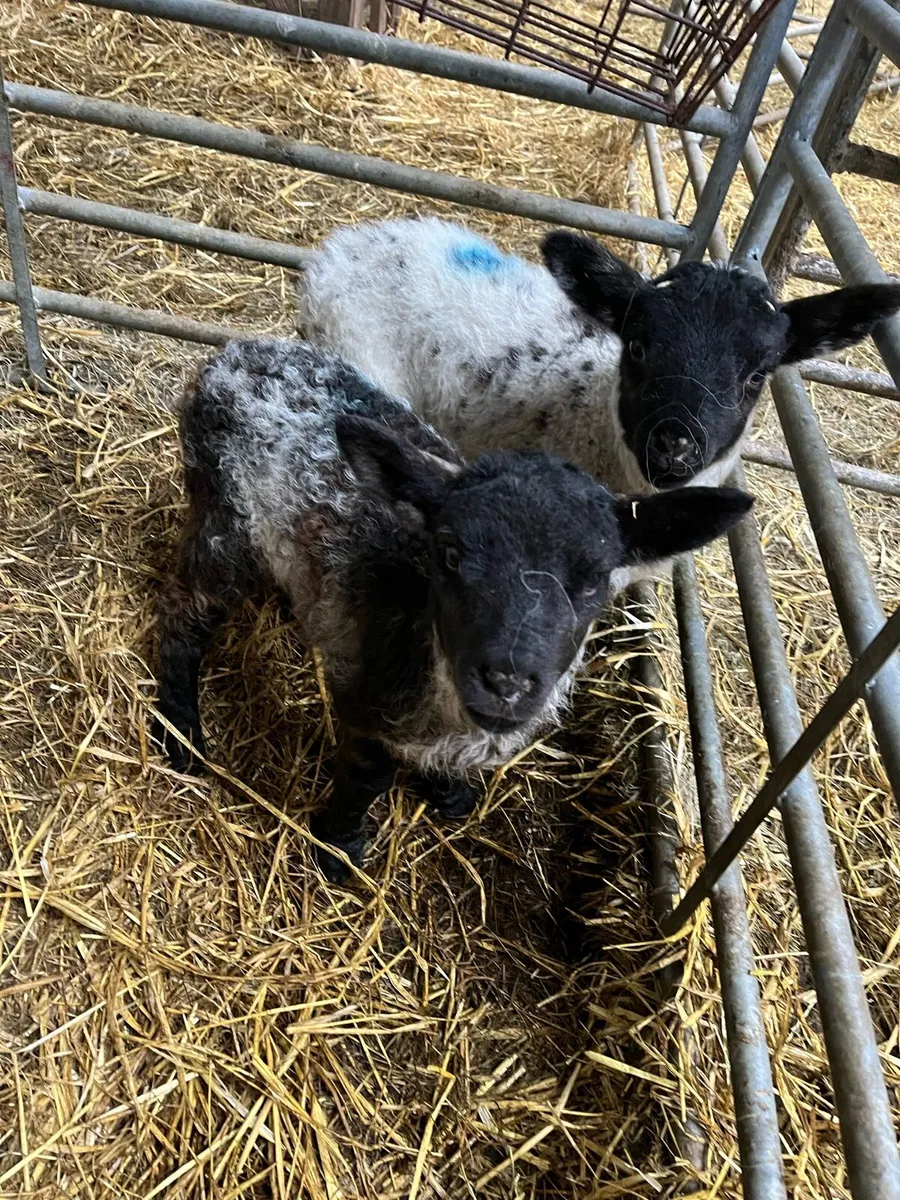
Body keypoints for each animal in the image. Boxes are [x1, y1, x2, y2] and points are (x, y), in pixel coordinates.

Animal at [154, 337, 753, 881]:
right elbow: (366, 775)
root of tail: (233, 353)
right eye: (449, 553)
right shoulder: (366, 695)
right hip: (224, 513)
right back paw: (180, 731)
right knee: (185, 611)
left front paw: (447, 792)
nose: (506, 683)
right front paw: (340, 850)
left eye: (594, 583)